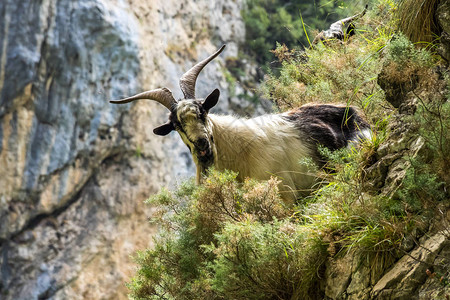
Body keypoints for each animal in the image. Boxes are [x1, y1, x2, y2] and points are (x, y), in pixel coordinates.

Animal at [110, 44, 370, 203]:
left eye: (203, 111)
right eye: (177, 126)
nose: (202, 143)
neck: (237, 150)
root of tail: (353, 112)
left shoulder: (285, 193)